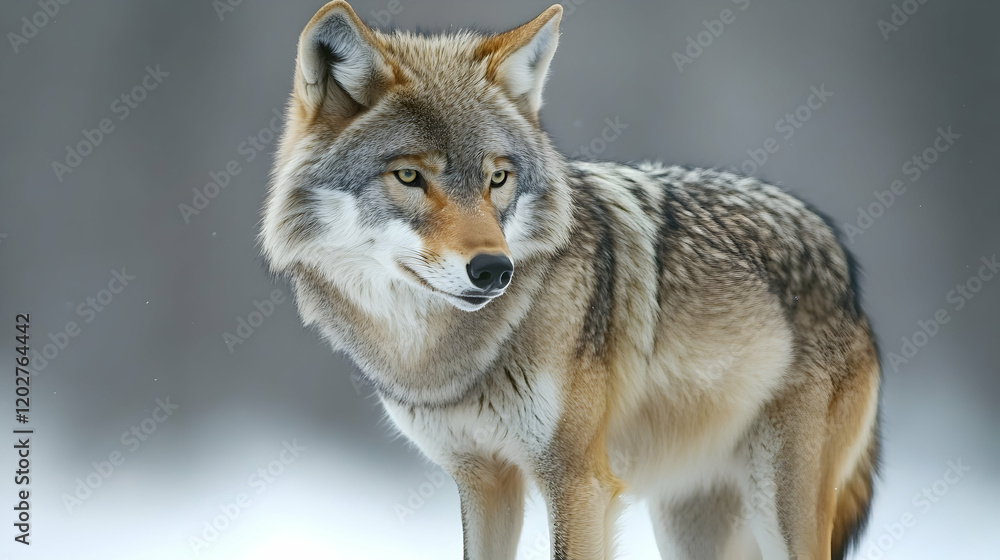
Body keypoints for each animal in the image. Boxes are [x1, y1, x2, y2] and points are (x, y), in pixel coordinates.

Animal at [259, 2, 881, 559]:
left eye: (498, 178)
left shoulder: (578, 481)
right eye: (409, 176)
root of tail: (840, 264)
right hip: (687, 520)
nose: (494, 270)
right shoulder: (482, 481)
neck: (440, 356)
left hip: (776, 509)